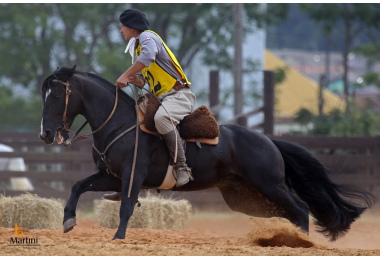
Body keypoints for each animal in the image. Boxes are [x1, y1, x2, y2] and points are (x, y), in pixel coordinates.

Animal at [40, 66, 372, 240]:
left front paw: (118, 238)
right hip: (245, 196)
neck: (120, 122)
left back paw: (300, 242)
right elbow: (77, 186)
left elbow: (126, 207)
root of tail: (269, 141)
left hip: (269, 185)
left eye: (55, 95)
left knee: (301, 209)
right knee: (288, 212)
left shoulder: (133, 176)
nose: (45, 134)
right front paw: (68, 221)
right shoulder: (111, 177)